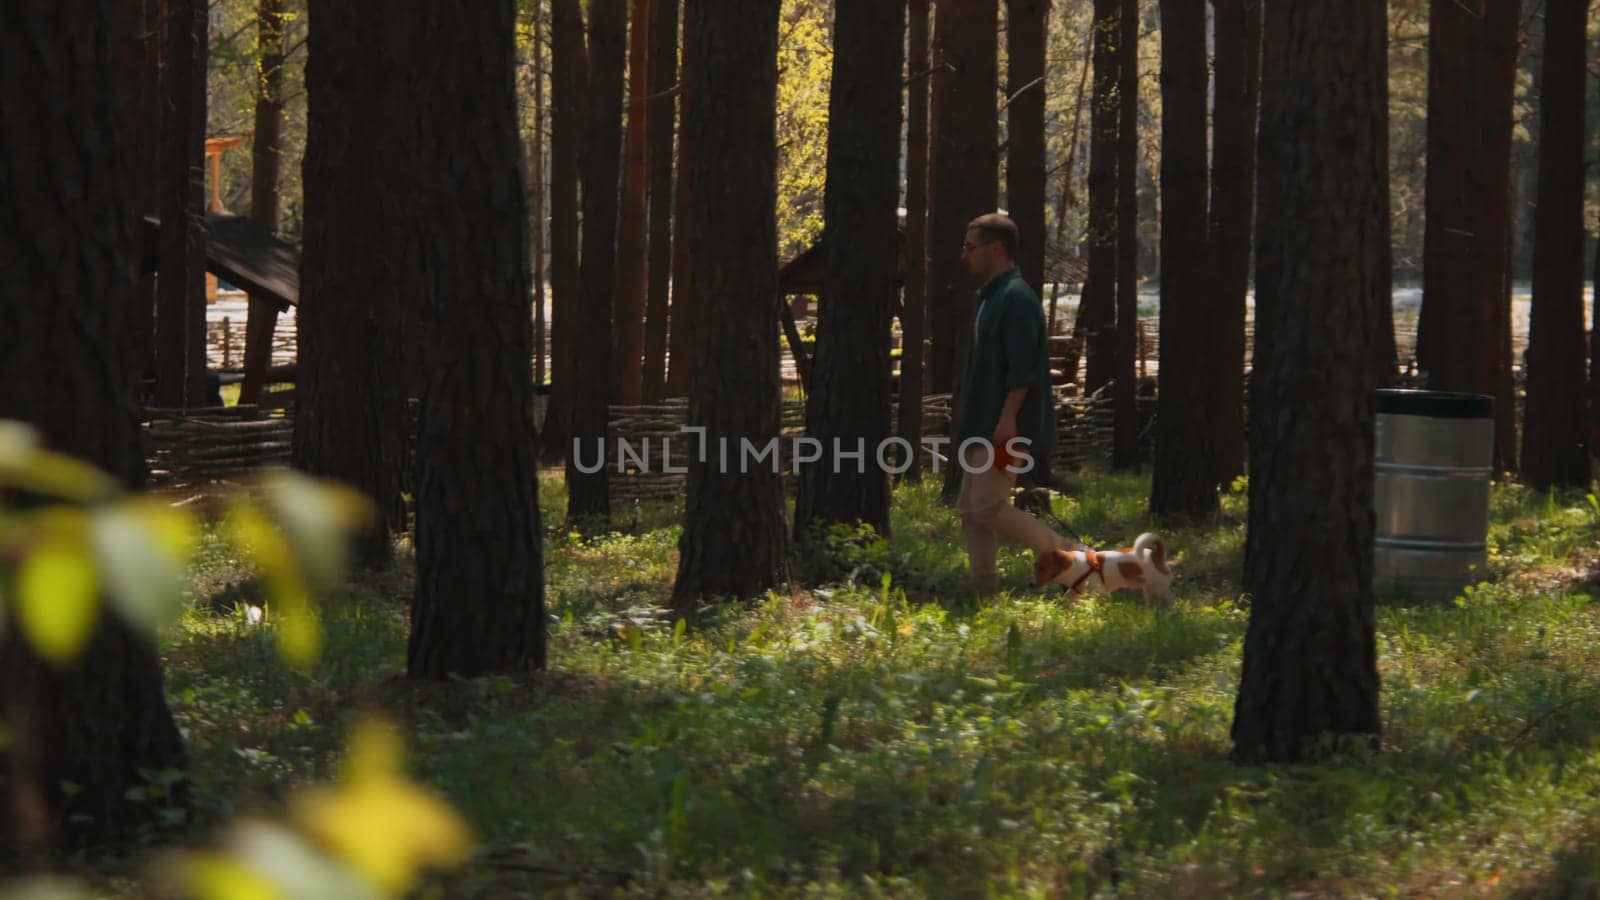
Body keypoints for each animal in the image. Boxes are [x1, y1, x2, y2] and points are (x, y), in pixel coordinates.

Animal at [1030, 531, 1171, 602]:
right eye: (1035, 566)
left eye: (1041, 568)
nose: (1031, 584)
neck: (1075, 567)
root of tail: (1156, 555)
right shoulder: (1075, 592)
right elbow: (1068, 599)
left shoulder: (1100, 593)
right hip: (1148, 588)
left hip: (1160, 588)